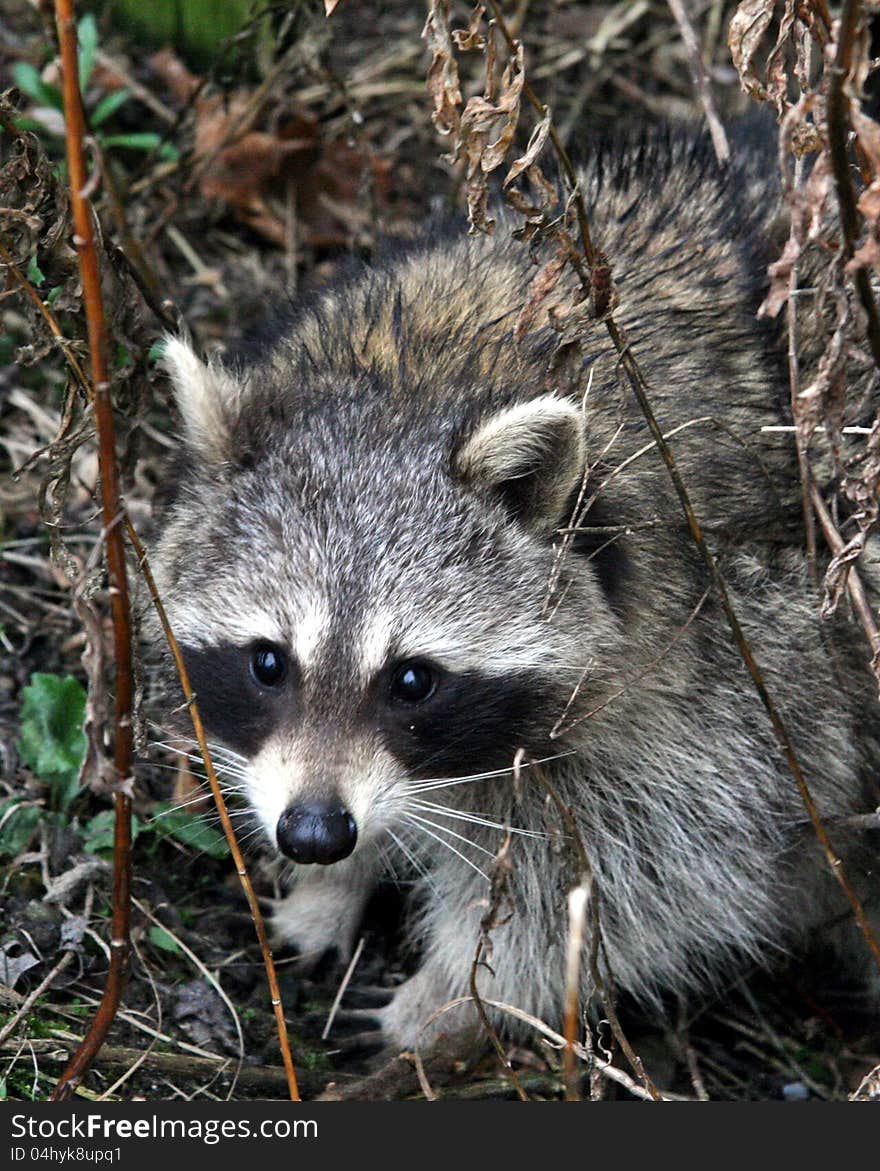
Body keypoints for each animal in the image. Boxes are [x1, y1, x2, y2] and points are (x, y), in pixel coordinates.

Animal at [151, 132, 880, 1058]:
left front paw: (451, 996)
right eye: (268, 662)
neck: (432, 372)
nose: (315, 833)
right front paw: (336, 882)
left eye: (413, 679)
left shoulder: (737, 661)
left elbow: (648, 867)